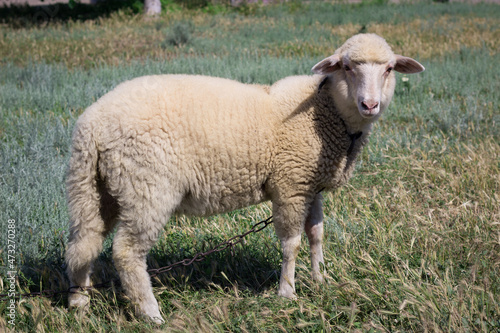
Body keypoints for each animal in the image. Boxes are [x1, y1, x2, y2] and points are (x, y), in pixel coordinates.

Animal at [65, 33, 426, 322]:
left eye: (389, 69)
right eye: (347, 67)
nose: (370, 104)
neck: (327, 112)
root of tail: (92, 123)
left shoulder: (311, 185)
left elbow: (317, 234)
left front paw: (321, 280)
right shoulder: (290, 185)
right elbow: (292, 243)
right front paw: (287, 292)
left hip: (98, 188)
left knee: (83, 243)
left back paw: (80, 301)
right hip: (147, 187)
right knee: (126, 252)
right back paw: (151, 314)